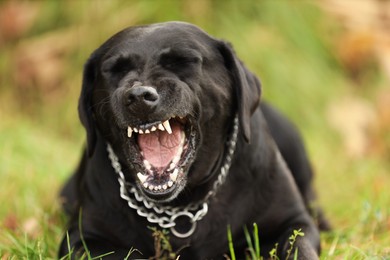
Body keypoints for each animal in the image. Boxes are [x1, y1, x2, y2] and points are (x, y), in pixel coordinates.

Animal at [59, 21, 328, 258]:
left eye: (183, 62)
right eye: (115, 69)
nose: (139, 96)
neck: (182, 207)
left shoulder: (293, 222)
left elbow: (299, 247)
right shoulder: (83, 238)